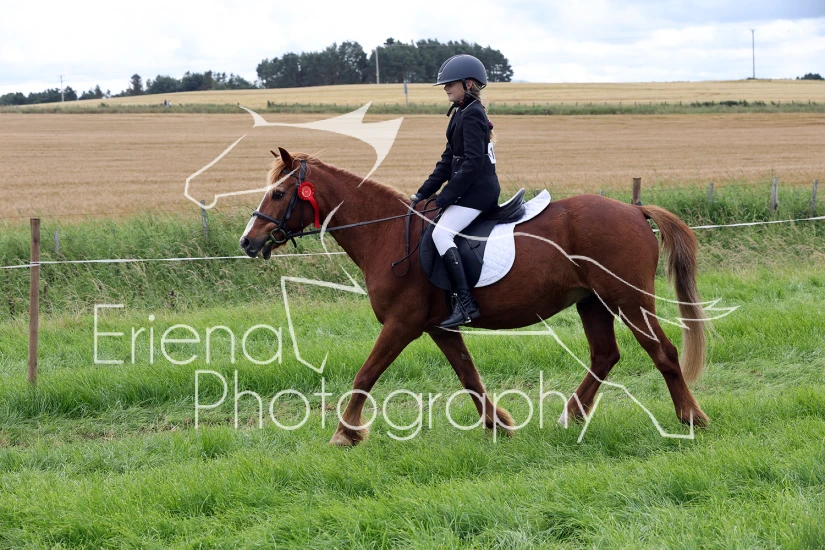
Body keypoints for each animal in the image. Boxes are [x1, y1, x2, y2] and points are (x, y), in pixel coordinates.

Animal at [240, 148, 710, 446]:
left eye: (278, 193)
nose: (247, 242)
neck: (385, 232)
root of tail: (634, 210)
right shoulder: (437, 327)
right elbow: (468, 376)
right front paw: (499, 425)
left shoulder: (401, 324)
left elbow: (366, 374)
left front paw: (345, 433)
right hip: (591, 301)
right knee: (605, 355)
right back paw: (570, 416)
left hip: (628, 299)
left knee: (663, 353)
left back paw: (691, 419)